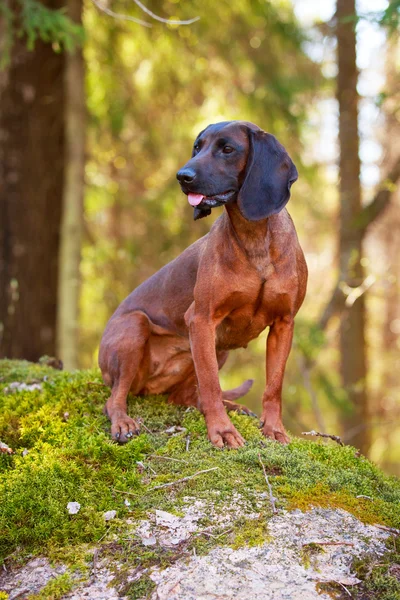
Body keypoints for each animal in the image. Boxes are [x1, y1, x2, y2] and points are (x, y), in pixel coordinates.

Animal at [98, 120, 308, 446]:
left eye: (227, 149)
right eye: (197, 148)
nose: (182, 176)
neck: (254, 239)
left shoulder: (283, 325)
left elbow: (274, 387)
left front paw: (274, 430)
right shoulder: (202, 319)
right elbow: (210, 384)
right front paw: (222, 431)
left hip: (219, 348)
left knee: (184, 397)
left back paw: (233, 405)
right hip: (135, 328)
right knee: (115, 398)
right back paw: (123, 422)